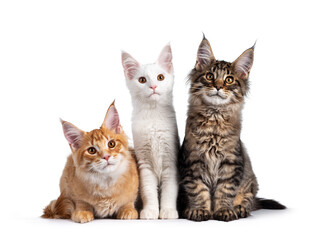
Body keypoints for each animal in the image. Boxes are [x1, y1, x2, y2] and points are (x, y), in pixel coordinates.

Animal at [120, 43, 179, 219]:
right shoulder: (144, 164)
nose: (153, 86)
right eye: (142, 80)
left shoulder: (170, 162)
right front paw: (150, 211)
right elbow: (148, 191)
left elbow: (169, 191)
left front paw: (168, 211)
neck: (153, 115)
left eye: (160, 77)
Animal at [178, 36, 284, 222]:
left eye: (229, 80)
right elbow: (198, 190)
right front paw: (200, 210)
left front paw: (224, 210)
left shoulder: (232, 163)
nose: (218, 86)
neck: (214, 118)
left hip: (251, 181)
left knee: (249, 199)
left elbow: (225, 191)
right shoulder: (192, 162)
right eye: (210, 76)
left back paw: (240, 208)